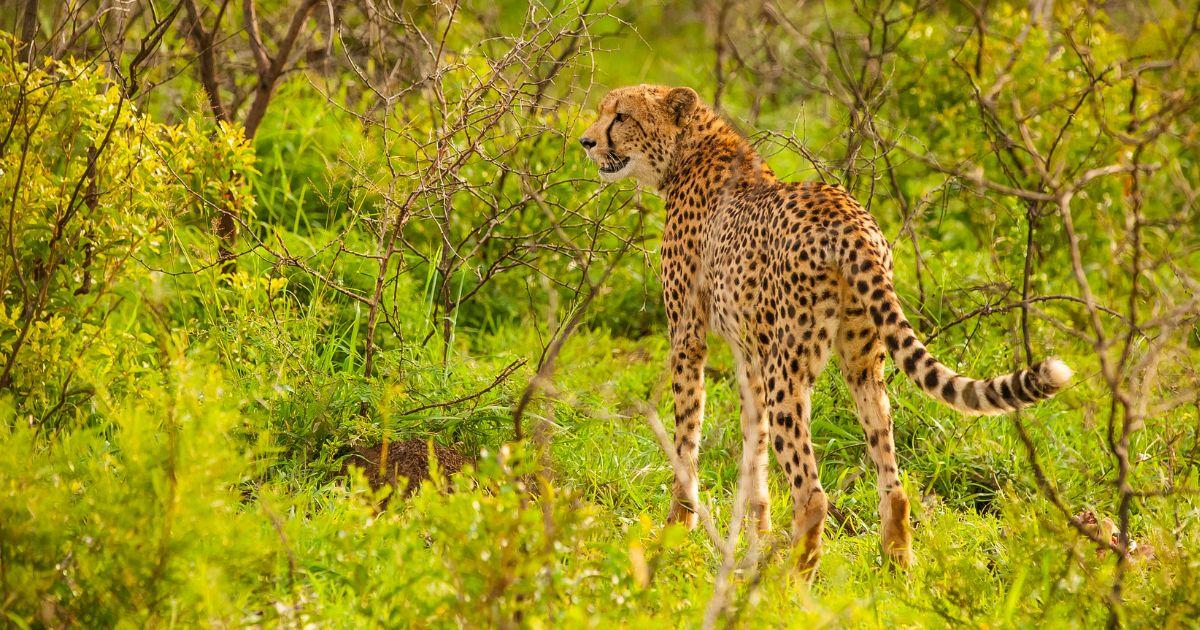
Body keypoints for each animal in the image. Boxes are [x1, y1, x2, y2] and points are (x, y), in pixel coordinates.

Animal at [579, 84, 1073, 573]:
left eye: (621, 116)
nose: (586, 141)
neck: (691, 150)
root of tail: (848, 217)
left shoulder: (689, 339)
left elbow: (687, 438)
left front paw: (677, 531)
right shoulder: (750, 355)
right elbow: (753, 445)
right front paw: (756, 538)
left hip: (790, 372)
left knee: (813, 494)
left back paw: (792, 580)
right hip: (862, 362)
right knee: (892, 480)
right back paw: (897, 567)